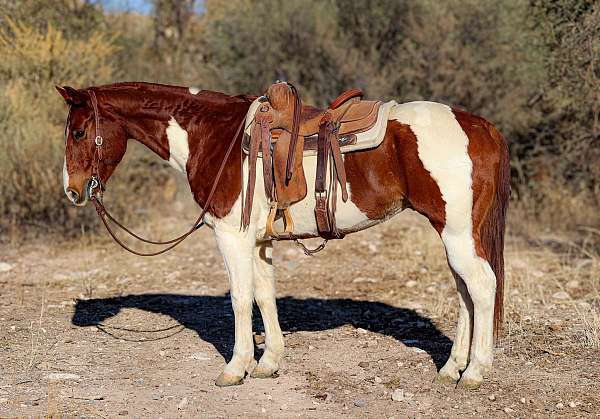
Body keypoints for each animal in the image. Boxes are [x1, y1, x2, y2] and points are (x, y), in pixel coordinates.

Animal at [58, 82, 510, 390]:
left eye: (78, 132)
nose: (72, 191)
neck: (214, 135)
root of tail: (482, 127)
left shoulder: (232, 237)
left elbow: (241, 300)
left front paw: (235, 368)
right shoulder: (259, 241)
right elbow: (264, 295)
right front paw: (269, 362)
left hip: (457, 234)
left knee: (482, 286)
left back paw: (475, 372)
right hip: (455, 235)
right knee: (466, 292)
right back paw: (451, 367)